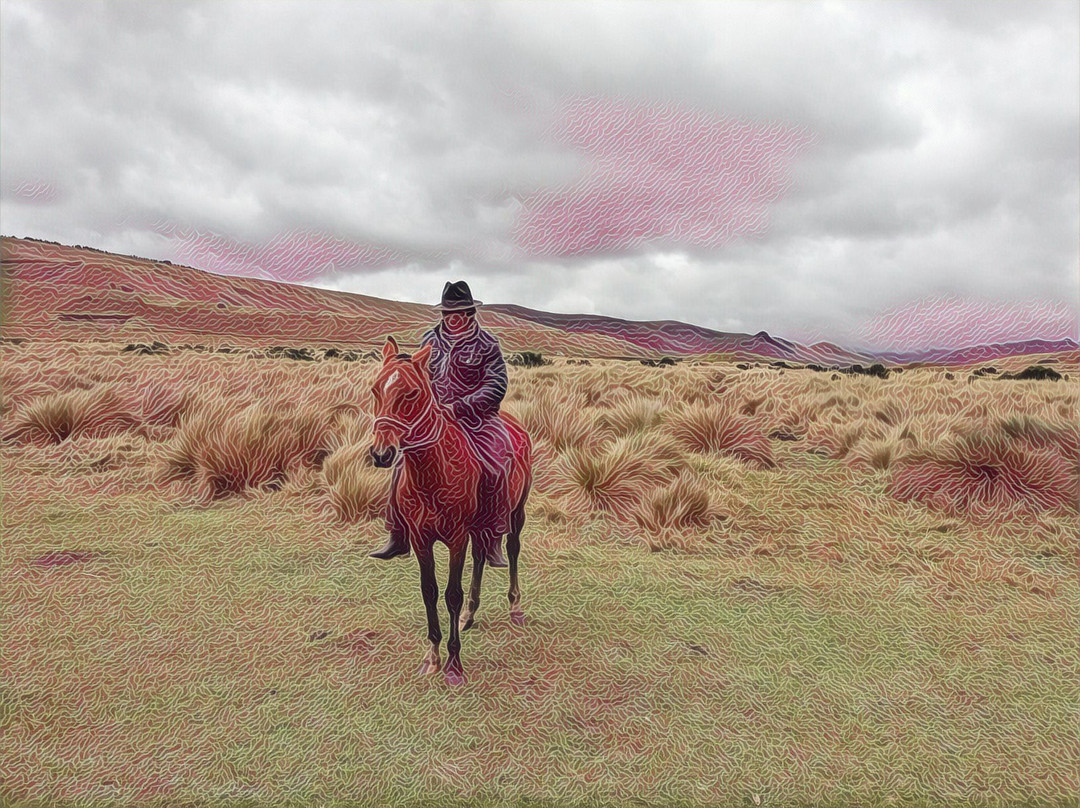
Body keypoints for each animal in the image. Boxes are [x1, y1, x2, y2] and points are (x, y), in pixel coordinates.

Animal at [369, 337, 533, 687]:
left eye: (411, 393)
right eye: (376, 389)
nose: (381, 453)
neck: (433, 473)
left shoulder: (457, 537)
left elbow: (452, 594)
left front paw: (454, 665)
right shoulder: (421, 539)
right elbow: (429, 591)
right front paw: (432, 656)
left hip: (516, 512)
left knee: (512, 549)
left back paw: (515, 607)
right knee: (482, 557)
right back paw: (470, 615)